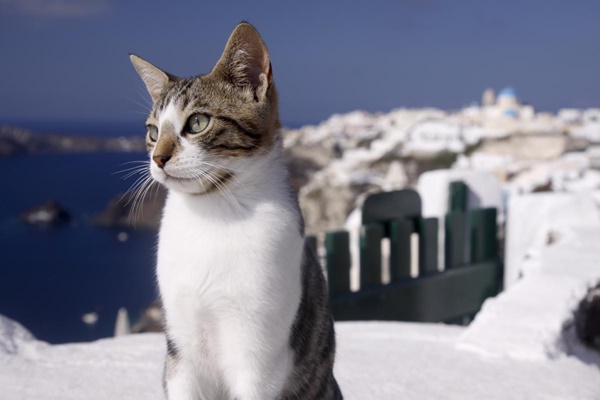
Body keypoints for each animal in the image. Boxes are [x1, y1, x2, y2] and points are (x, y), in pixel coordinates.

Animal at [129, 22, 342, 400]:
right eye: (153, 132)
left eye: (197, 123)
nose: (158, 157)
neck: (212, 216)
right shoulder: (180, 349)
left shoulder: (259, 355)